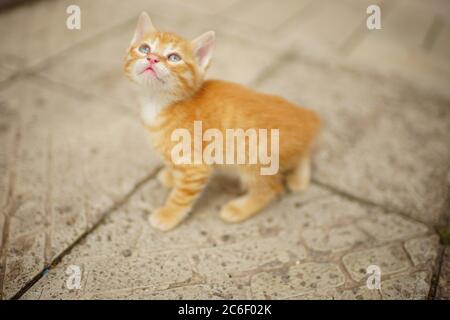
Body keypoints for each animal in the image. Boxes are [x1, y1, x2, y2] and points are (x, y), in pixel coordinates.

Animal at [123, 12, 320, 231]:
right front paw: (170, 176)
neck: (158, 103)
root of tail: (306, 115)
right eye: (144, 48)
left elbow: (182, 195)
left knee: (270, 188)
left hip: (254, 155)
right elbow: (174, 169)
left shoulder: (196, 166)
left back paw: (239, 208)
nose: (152, 58)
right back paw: (299, 179)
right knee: (303, 153)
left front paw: (168, 214)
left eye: (174, 58)